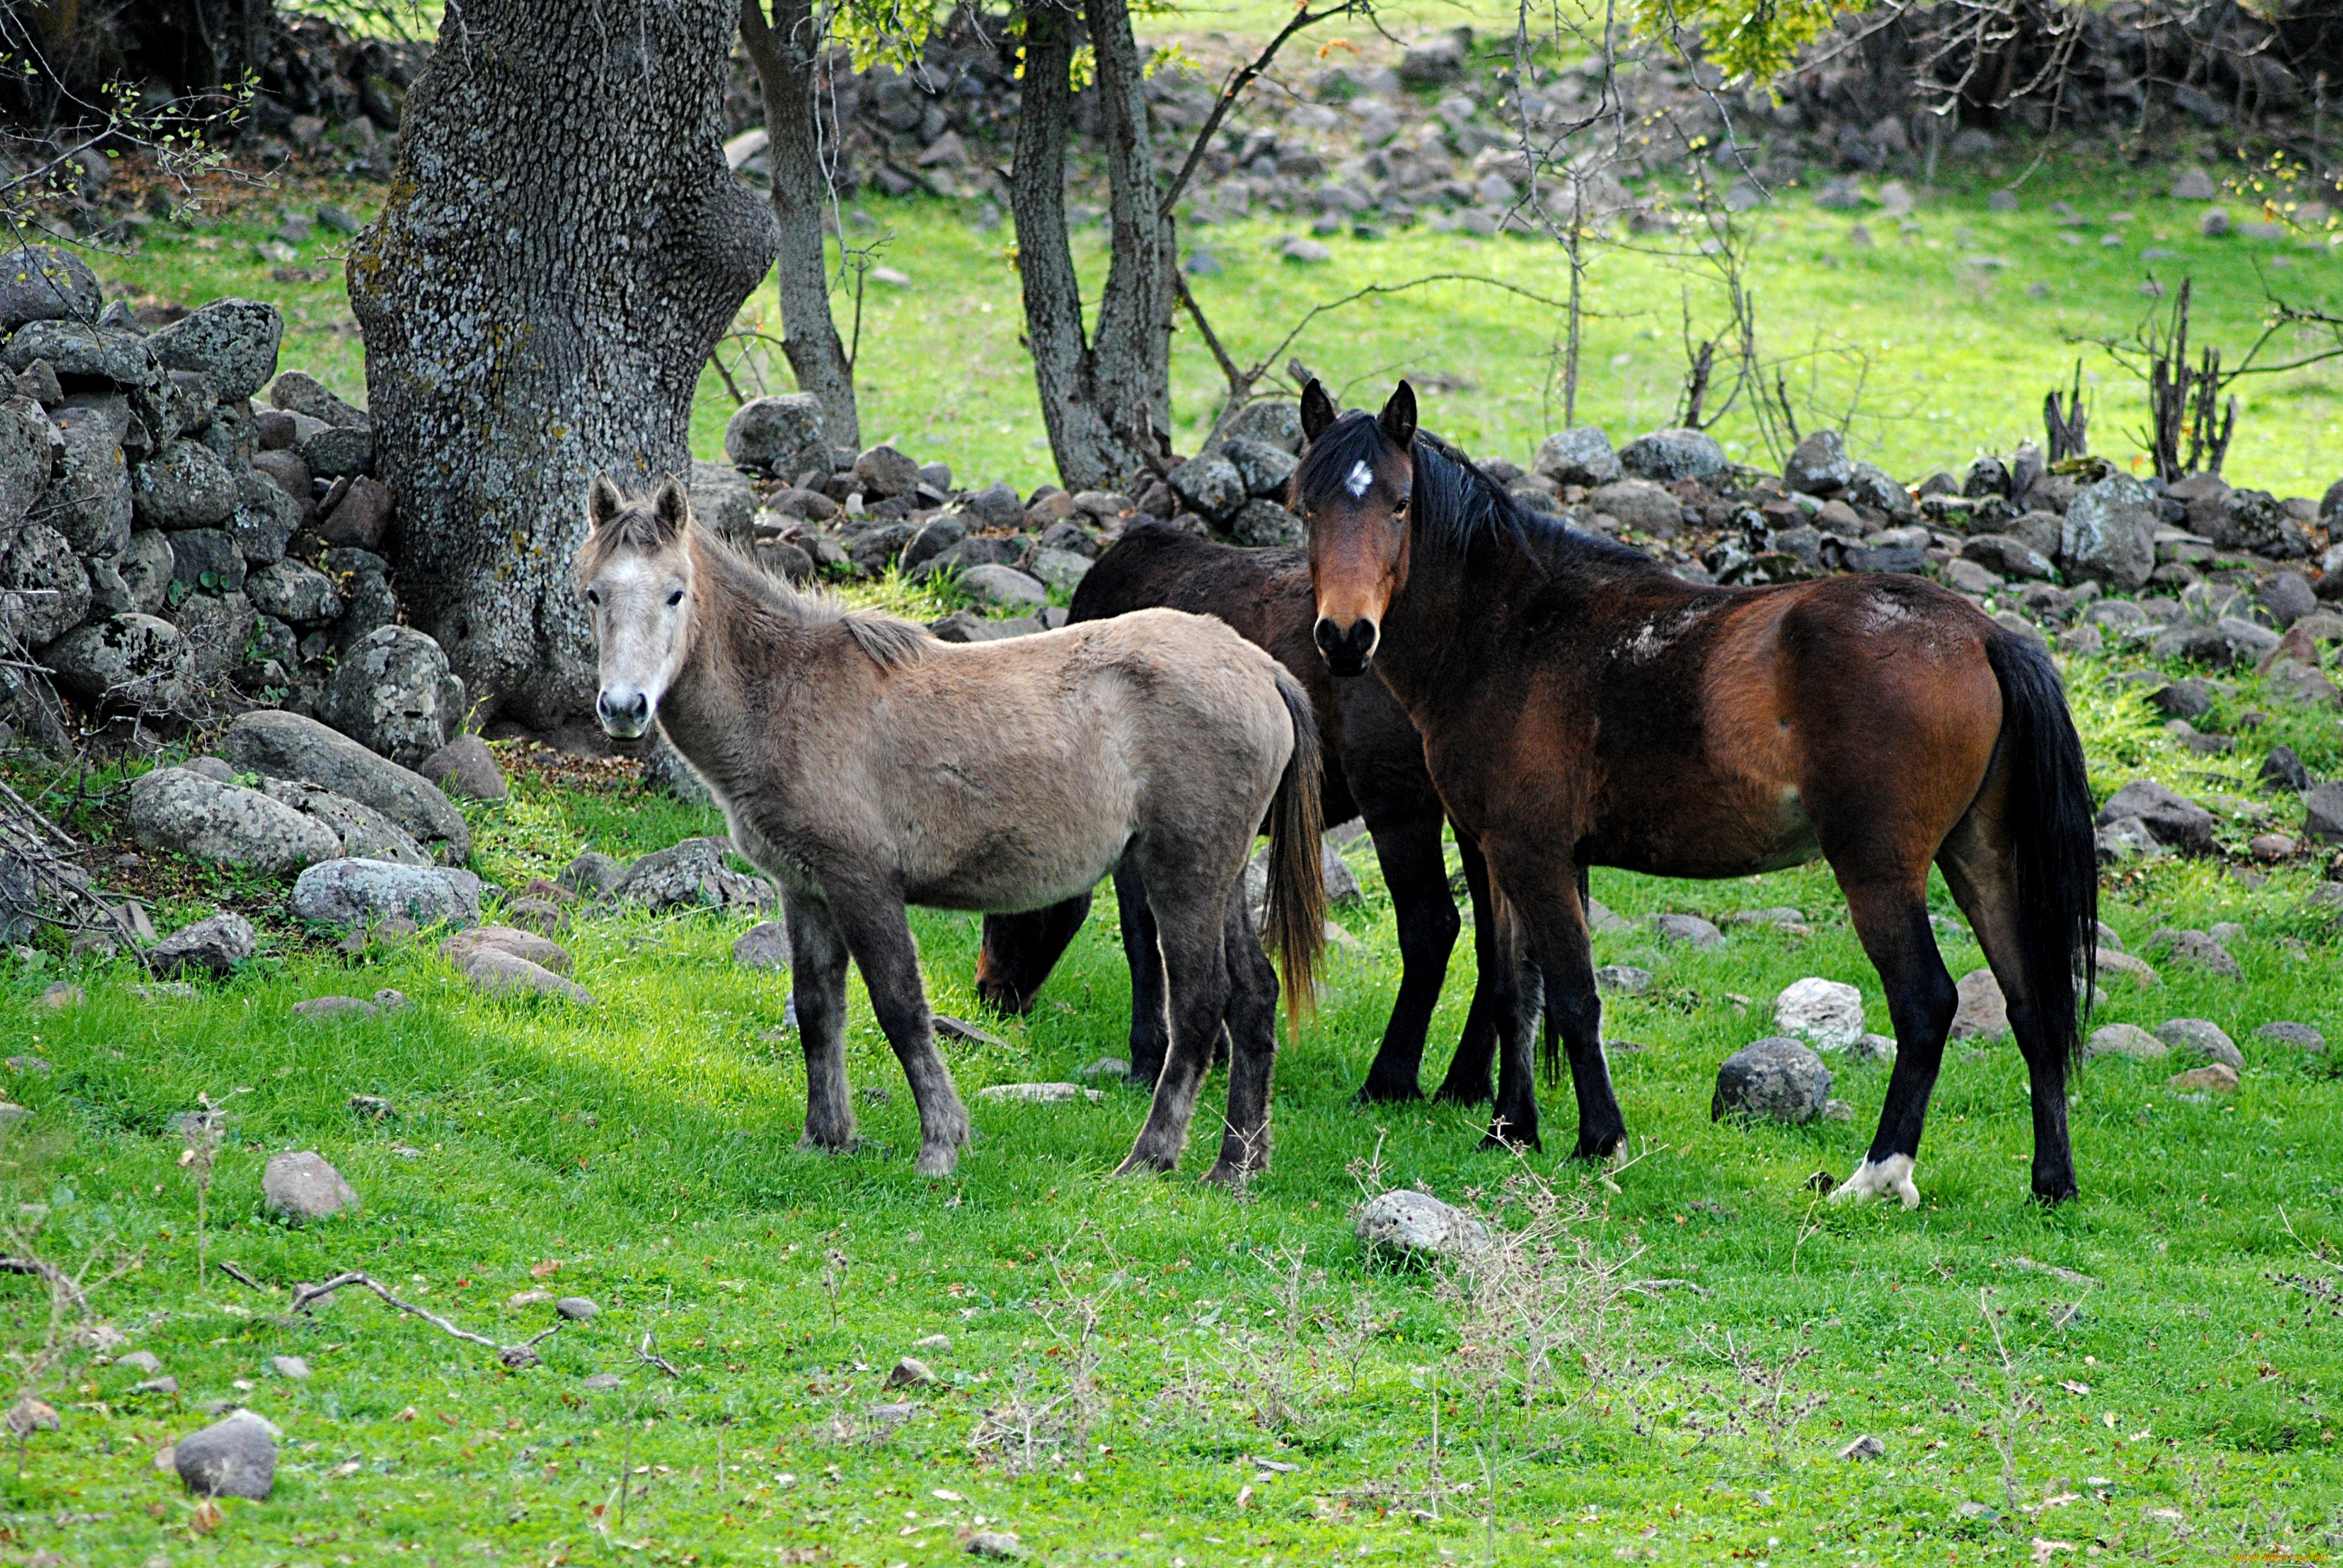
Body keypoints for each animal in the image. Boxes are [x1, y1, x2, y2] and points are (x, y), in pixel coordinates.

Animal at [576, 471, 1330, 1181]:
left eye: (675, 594)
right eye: (593, 595)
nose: (623, 707)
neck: (791, 693)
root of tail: (1260, 669)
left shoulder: (863, 886)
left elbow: (900, 1009)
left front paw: (940, 1144)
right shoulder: (806, 891)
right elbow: (819, 1011)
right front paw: (826, 1139)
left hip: (1183, 876)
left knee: (1201, 1006)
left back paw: (1150, 1158)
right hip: (1220, 878)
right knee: (1255, 996)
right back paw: (1234, 1167)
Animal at [975, 525, 1508, 1101]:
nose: (987, 992)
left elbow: (1143, 936)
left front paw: (1149, 1055)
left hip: (1396, 799)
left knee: (1432, 927)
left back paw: (1388, 1081)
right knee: (1494, 941)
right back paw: (1466, 1084)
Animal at [1293, 381, 2099, 1209]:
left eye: (1398, 504)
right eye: (1306, 508)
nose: (1345, 638)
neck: (1512, 632)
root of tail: (1978, 634)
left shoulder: (1532, 855)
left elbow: (1574, 996)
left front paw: (1599, 1141)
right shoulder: (1501, 854)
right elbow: (1518, 991)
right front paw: (1509, 1131)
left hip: (1879, 869)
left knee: (1926, 1004)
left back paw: (1877, 1174)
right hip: (1981, 859)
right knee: (2032, 1006)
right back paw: (2050, 1183)